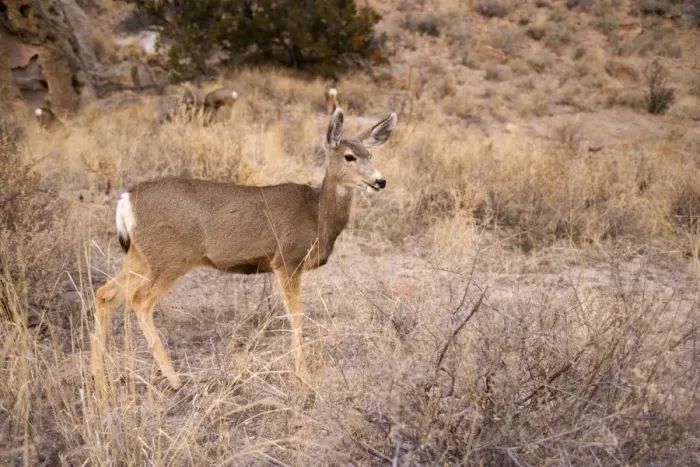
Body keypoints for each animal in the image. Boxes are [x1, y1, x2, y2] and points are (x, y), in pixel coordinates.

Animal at [91, 107, 397, 390]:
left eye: (370, 155)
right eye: (349, 156)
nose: (380, 181)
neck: (316, 215)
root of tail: (126, 199)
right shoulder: (287, 260)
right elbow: (296, 316)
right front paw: (302, 374)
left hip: (140, 256)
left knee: (106, 293)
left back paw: (100, 379)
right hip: (171, 257)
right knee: (139, 300)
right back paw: (174, 379)